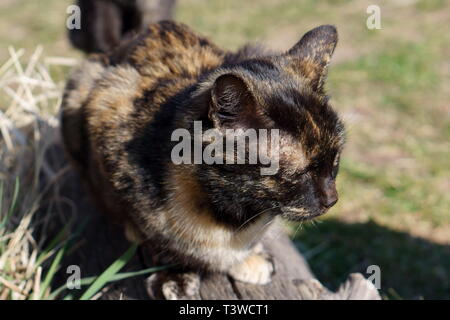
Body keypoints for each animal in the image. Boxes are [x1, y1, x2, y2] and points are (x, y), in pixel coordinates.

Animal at [61, 20, 344, 284]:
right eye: (299, 173)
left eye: (335, 160)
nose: (332, 199)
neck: (230, 214)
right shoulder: (108, 108)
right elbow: (155, 238)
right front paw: (175, 277)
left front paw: (247, 259)